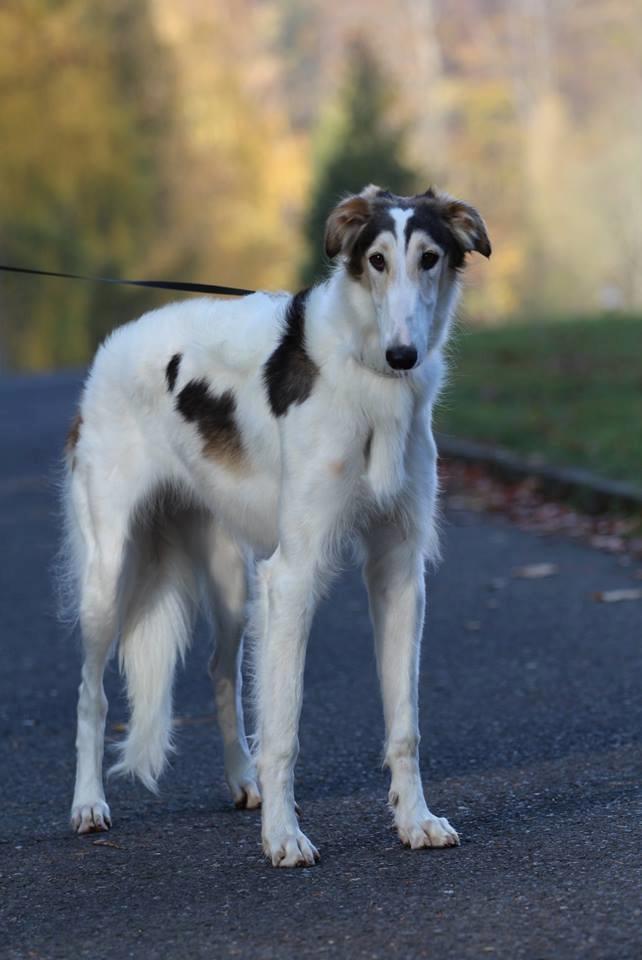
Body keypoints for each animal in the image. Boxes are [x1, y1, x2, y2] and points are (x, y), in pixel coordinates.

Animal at [61, 184, 490, 868]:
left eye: (430, 258)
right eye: (375, 260)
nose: (403, 355)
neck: (367, 377)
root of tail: (108, 351)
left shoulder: (398, 570)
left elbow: (405, 725)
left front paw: (415, 821)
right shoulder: (293, 574)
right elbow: (285, 727)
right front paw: (285, 838)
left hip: (232, 580)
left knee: (220, 673)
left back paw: (244, 781)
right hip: (109, 574)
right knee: (91, 692)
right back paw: (88, 804)